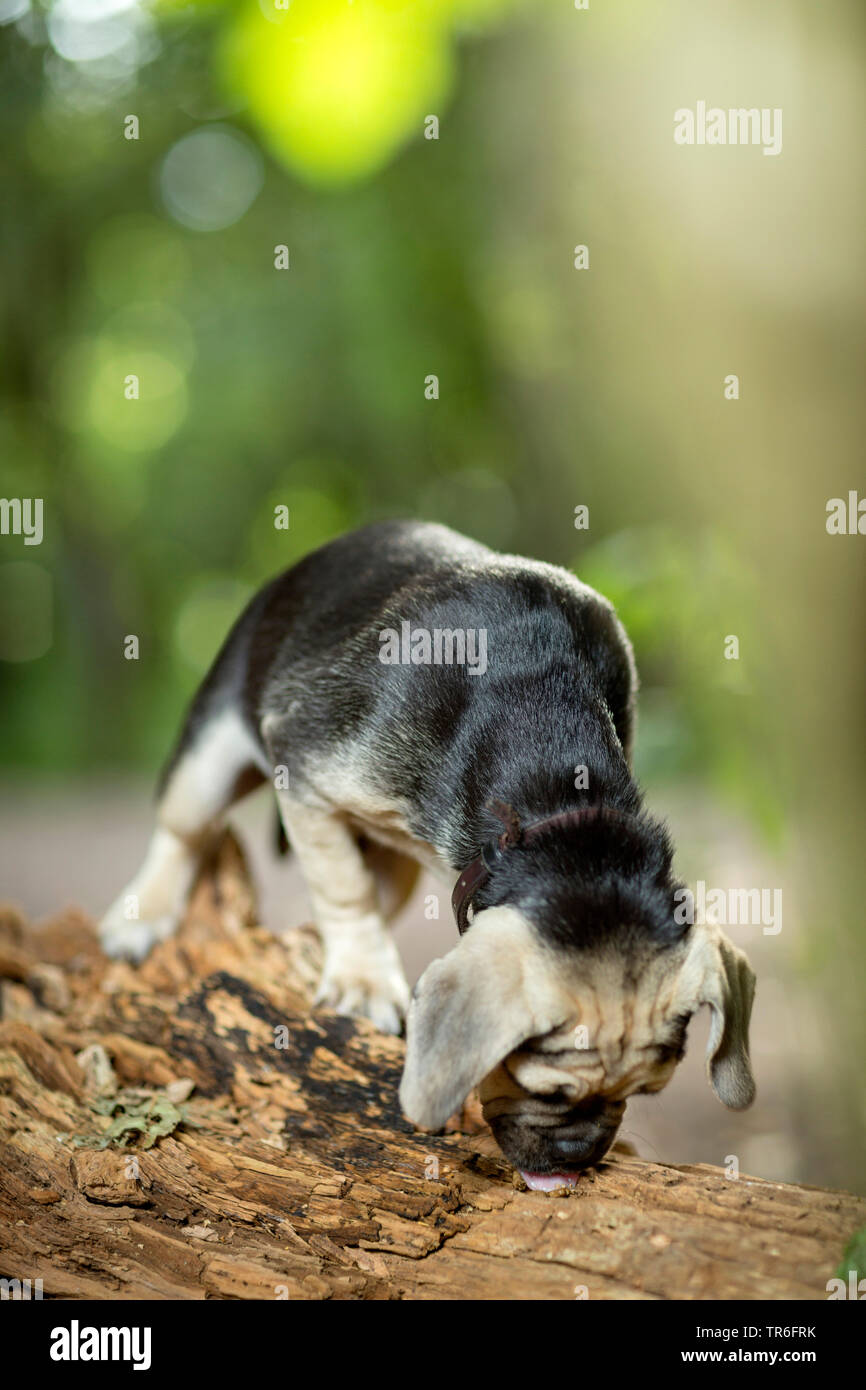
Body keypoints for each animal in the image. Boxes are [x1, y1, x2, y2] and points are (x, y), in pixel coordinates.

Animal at [101, 519, 756, 1184]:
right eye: (544, 1089)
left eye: (644, 1091)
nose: (579, 1154)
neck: (552, 804)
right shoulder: (306, 767)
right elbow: (342, 886)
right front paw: (362, 984)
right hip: (213, 745)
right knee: (184, 830)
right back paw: (144, 915)